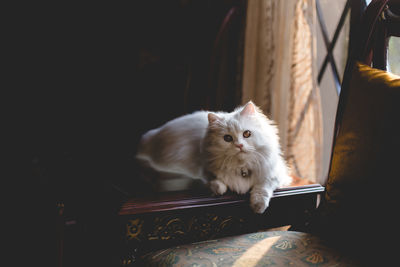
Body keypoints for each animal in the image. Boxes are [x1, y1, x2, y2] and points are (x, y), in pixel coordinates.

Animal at [137, 101, 290, 215]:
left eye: (246, 134)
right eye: (227, 138)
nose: (239, 145)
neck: (241, 167)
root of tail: (150, 137)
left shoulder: (275, 174)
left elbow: (262, 188)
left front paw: (258, 206)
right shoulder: (204, 170)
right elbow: (215, 181)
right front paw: (219, 190)